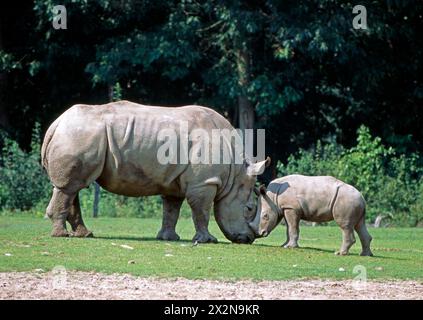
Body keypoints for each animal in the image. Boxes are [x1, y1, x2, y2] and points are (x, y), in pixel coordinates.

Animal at [42, 101, 268, 244]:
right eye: (249, 208)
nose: (248, 239)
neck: (235, 172)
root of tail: (55, 125)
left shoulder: (175, 181)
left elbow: (171, 209)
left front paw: (169, 238)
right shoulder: (204, 182)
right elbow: (201, 211)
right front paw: (207, 241)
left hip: (77, 135)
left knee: (75, 187)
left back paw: (85, 234)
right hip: (78, 135)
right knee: (70, 187)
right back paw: (62, 236)